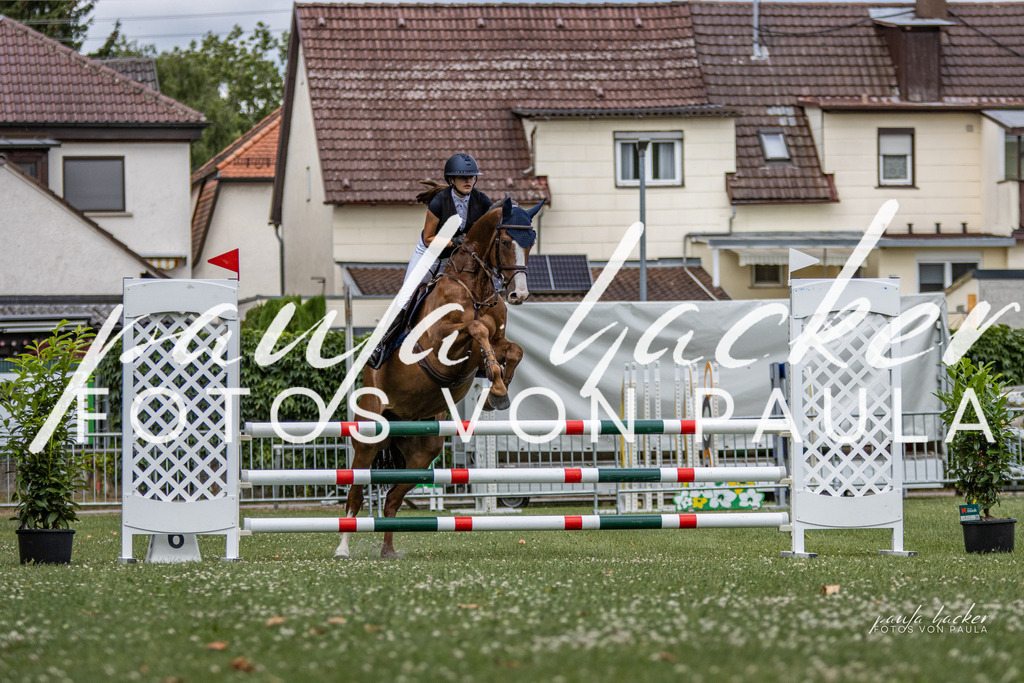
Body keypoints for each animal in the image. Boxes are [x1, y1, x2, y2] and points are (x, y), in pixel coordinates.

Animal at [336, 196, 544, 559]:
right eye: (505, 242)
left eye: (531, 241)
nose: (519, 295)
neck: (475, 286)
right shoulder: (440, 342)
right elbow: (476, 327)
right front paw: (496, 386)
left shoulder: (496, 341)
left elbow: (511, 349)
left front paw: (498, 391)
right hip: (369, 435)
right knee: (356, 495)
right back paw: (343, 549)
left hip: (423, 451)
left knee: (392, 500)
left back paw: (388, 551)